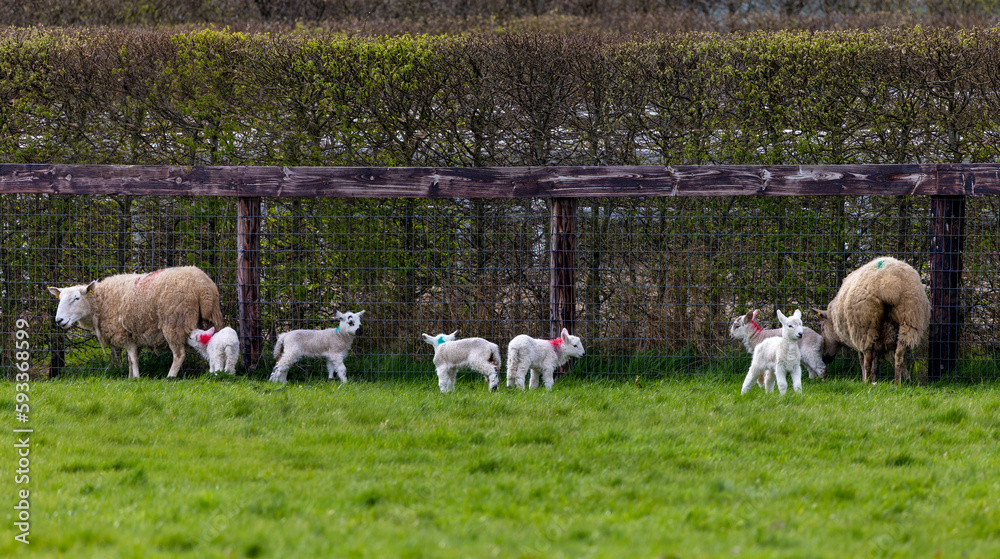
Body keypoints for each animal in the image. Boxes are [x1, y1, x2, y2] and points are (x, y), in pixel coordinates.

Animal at [48, 266, 224, 379]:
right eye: (60, 299)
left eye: (76, 298)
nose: (59, 320)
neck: (101, 303)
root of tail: (203, 288)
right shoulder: (133, 336)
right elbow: (130, 360)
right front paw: (130, 378)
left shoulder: (125, 335)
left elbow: (132, 359)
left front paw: (136, 379)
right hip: (211, 318)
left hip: (174, 322)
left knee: (179, 354)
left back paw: (170, 377)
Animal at [813, 256, 930, 385]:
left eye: (820, 327)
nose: (825, 358)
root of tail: (889, 283)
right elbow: (877, 364)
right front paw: (876, 379)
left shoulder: (857, 340)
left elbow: (864, 360)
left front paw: (866, 378)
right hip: (910, 319)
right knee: (899, 355)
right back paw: (897, 383)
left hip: (865, 325)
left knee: (867, 358)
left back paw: (867, 382)